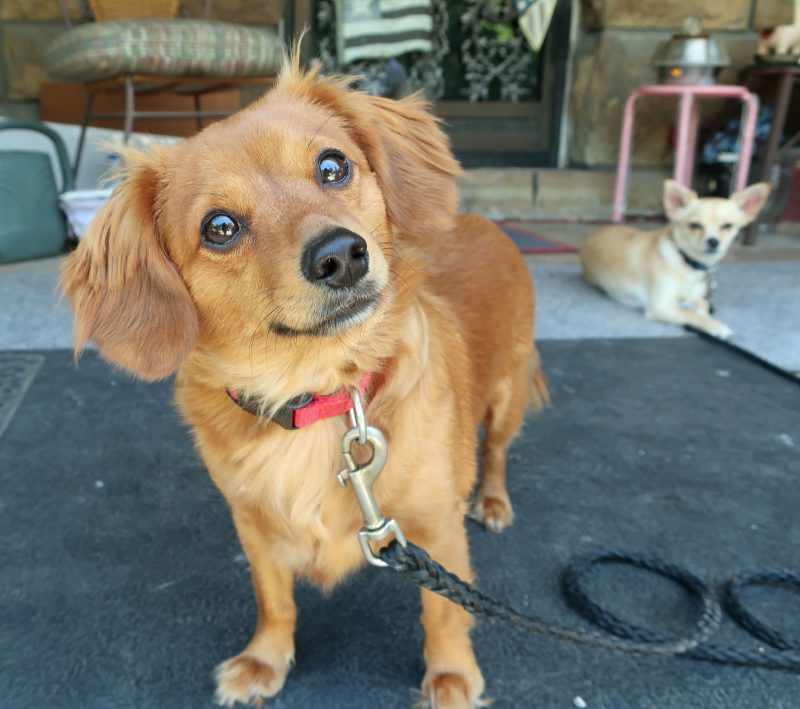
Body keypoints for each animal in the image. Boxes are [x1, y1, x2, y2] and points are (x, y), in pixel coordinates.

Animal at [62, 52, 552, 704]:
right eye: (219, 227)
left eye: (333, 166)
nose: (341, 255)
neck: (321, 393)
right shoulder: (254, 528)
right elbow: (275, 603)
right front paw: (265, 660)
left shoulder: (438, 532)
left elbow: (445, 613)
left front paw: (451, 677)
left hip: (507, 396)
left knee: (495, 450)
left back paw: (494, 499)